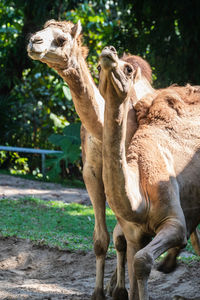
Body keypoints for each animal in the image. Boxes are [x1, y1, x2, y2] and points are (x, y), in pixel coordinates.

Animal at [26, 19, 155, 300]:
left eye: (62, 39)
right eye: (41, 30)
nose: (33, 42)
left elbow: (122, 235)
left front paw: (119, 290)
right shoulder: (91, 172)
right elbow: (100, 240)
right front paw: (98, 291)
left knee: (125, 235)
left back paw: (119, 286)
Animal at [99, 45, 200, 298]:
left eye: (128, 68)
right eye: (97, 68)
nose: (108, 51)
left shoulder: (173, 222)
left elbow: (142, 261)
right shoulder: (134, 233)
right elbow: (134, 271)